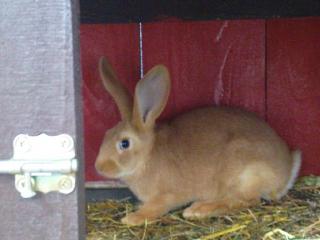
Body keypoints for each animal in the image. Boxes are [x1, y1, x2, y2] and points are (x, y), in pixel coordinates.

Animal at [94, 57, 302, 226]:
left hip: (243, 171)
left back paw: (198, 210)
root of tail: (286, 171)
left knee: (246, 200)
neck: (148, 156)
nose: (99, 167)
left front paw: (132, 218)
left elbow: (155, 208)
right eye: (106, 134)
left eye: (124, 143)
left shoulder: (167, 195)